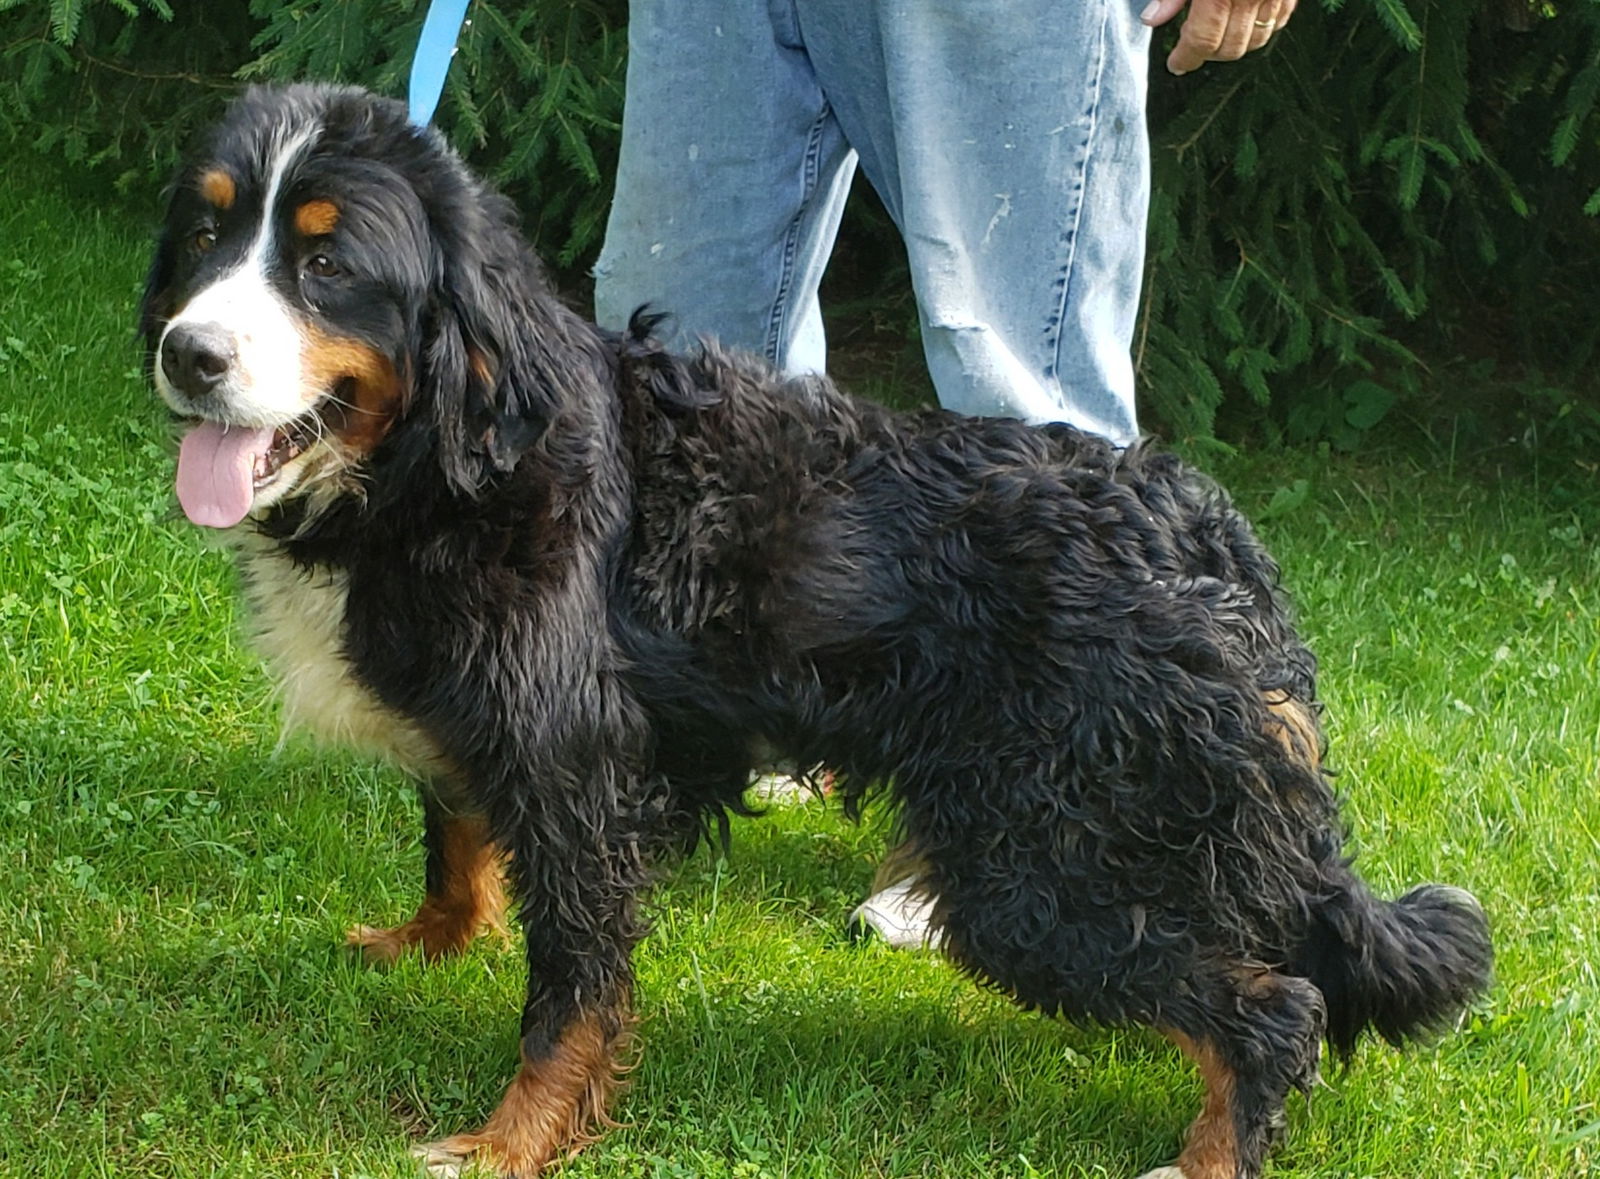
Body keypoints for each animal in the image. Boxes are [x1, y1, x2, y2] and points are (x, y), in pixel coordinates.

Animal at [144, 82, 1491, 1177]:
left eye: (326, 266)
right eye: (207, 235)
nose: (185, 353)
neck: (450, 460)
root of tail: (1219, 548)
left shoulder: (578, 775)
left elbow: (570, 992)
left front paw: (511, 1140)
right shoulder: (485, 727)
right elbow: (453, 836)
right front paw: (427, 942)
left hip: (1035, 873)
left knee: (1274, 1009)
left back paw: (1208, 1156)